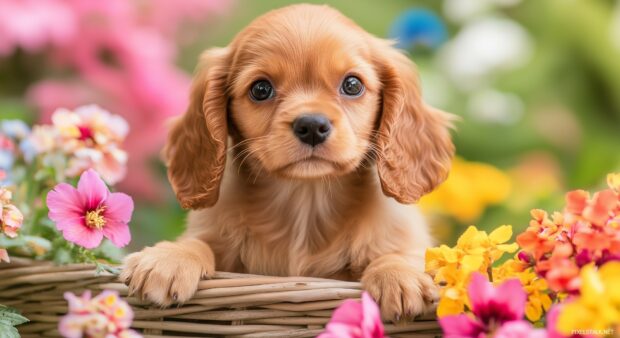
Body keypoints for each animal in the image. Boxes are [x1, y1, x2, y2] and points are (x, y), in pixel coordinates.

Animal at [118, 3, 452, 320]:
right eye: (261, 89)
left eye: (352, 85)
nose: (312, 126)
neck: (305, 202)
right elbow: (198, 242)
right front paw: (168, 258)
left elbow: (399, 253)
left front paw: (400, 274)